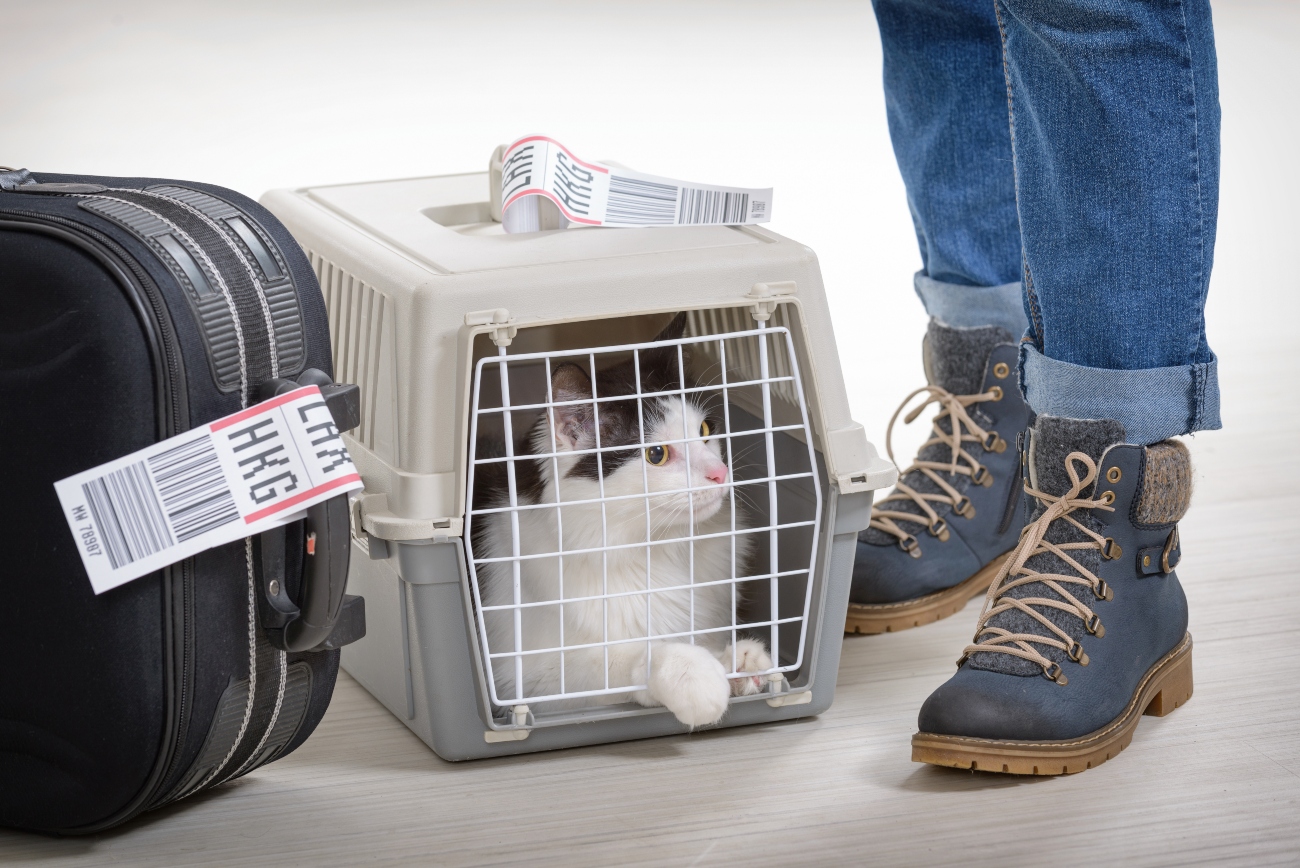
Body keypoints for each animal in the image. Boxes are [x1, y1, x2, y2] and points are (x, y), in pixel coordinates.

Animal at [470, 311, 764, 727]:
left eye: (705, 431)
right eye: (657, 455)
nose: (720, 473)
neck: (660, 550)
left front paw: (738, 662)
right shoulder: (525, 681)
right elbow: (620, 660)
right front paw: (696, 674)